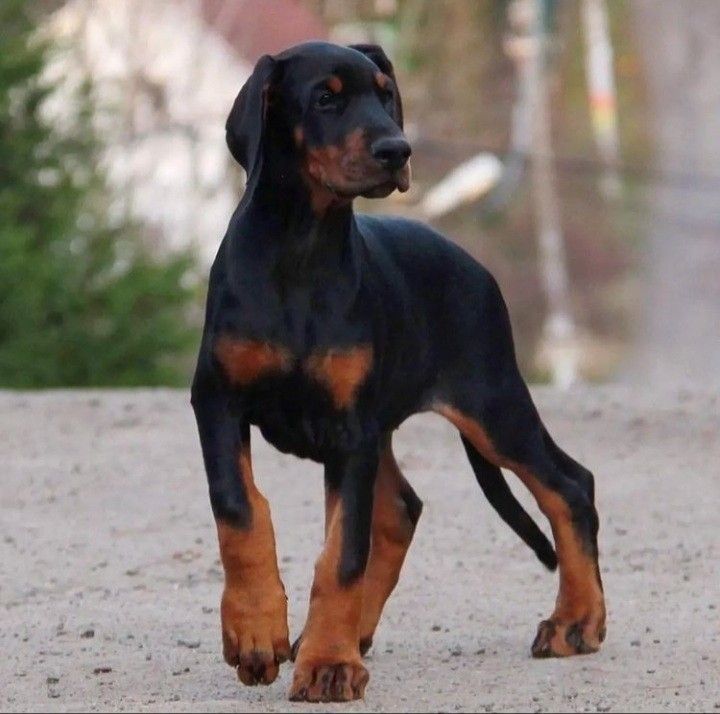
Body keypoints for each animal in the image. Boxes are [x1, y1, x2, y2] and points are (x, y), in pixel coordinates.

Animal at [188, 40, 604, 700]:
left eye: (387, 96)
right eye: (325, 98)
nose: (397, 150)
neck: (301, 248)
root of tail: (476, 268)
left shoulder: (350, 430)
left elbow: (342, 554)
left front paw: (328, 665)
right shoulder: (218, 400)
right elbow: (239, 509)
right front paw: (257, 632)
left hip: (490, 402)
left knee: (569, 484)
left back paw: (575, 622)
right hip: (399, 425)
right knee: (401, 511)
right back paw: (348, 632)